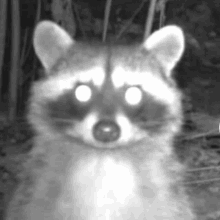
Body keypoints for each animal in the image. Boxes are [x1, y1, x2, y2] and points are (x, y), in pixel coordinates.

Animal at [5, 20, 194, 220]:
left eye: (133, 94)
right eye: (82, 92)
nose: (106, 131)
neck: (105, 158)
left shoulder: (169, 199)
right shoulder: (34, 192)